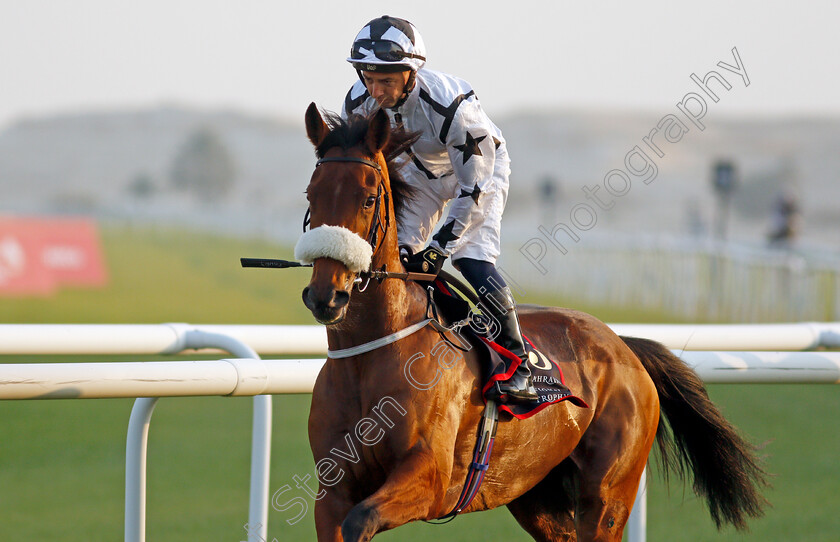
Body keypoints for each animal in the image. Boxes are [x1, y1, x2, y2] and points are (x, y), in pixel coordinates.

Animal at [298, 104, 764, 540]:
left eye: (368, 198)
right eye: (310, 196)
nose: (326, 295)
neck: (372, 354)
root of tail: (623, 344)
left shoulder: (429, 477)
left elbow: (362, 519)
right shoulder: (332, 492)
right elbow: (343, 517)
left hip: (609, 494)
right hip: (534, 490)